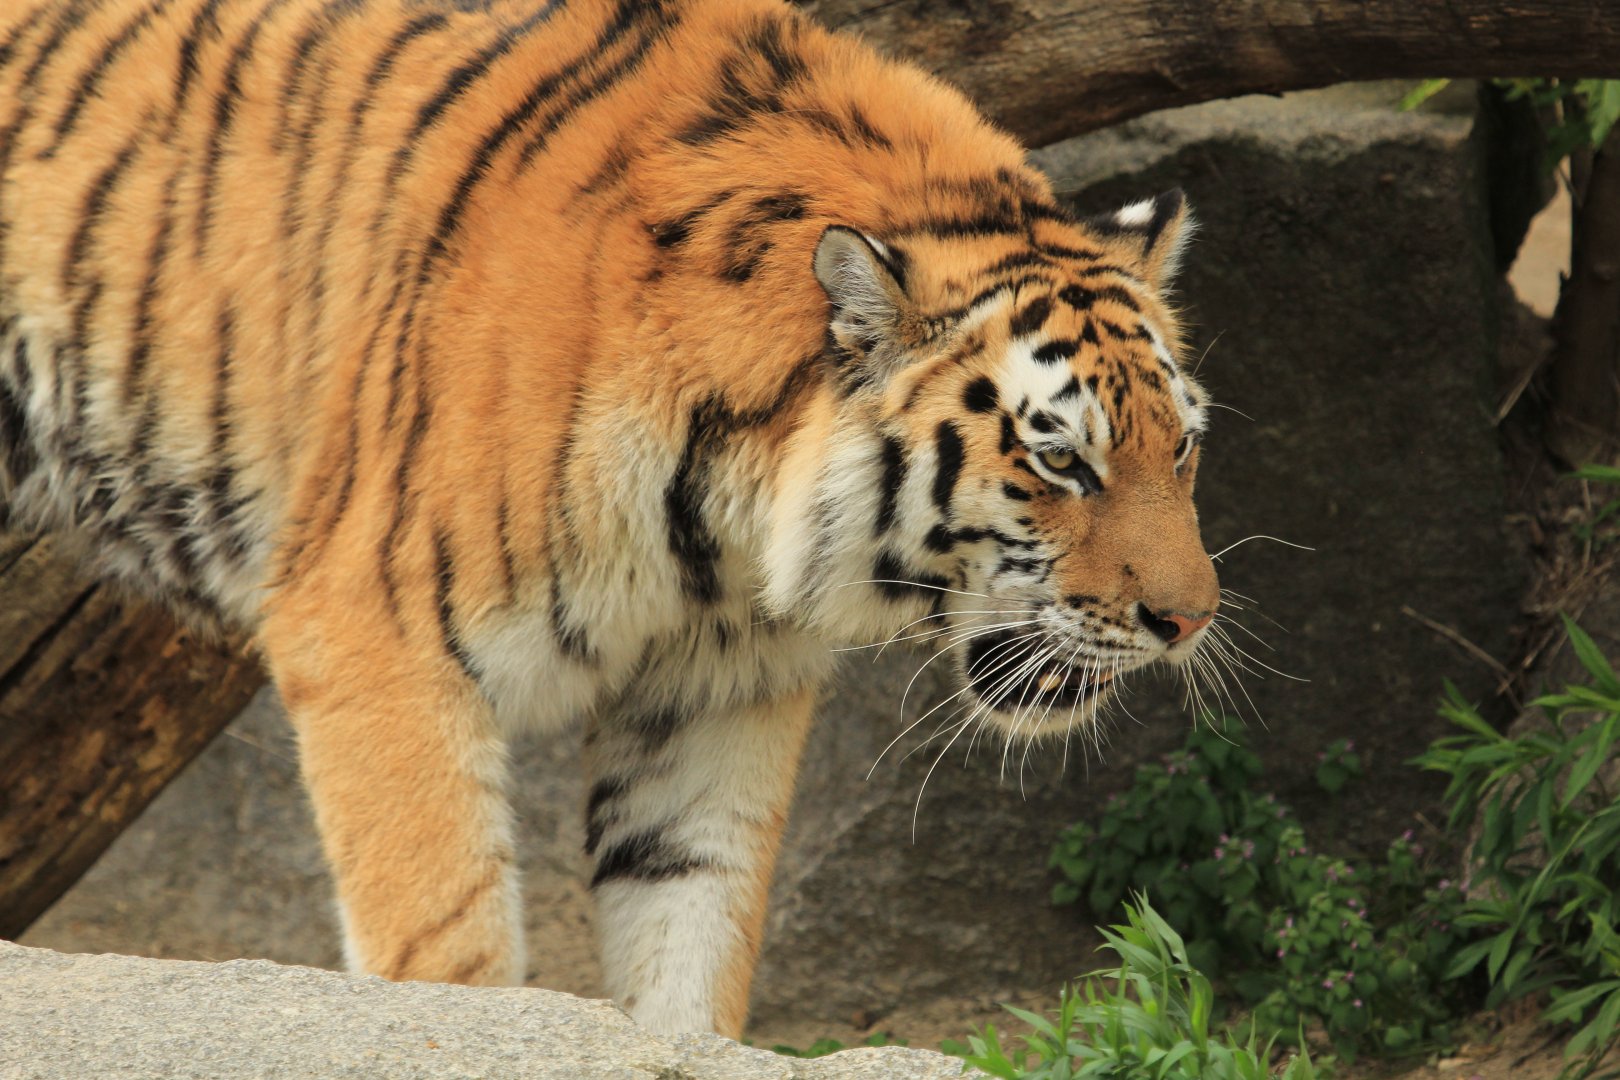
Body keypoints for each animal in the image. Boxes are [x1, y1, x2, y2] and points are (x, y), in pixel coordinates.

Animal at [0, 0, 1220, 1038]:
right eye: (1058, 460)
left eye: (1181, 448)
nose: (1190, 621)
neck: (720, 528)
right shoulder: (372, 640)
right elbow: (447, 953)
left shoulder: (717, 695)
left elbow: (692, 935)